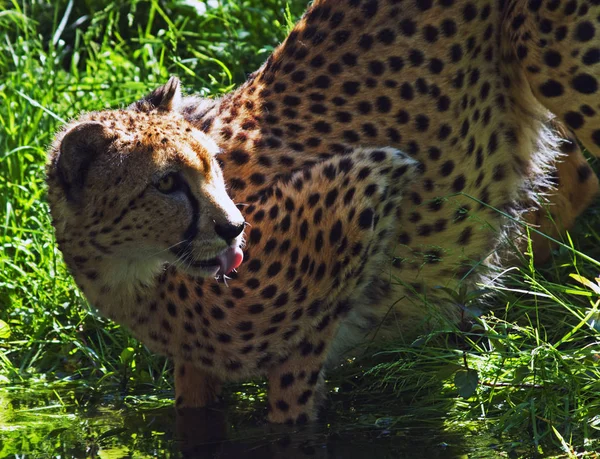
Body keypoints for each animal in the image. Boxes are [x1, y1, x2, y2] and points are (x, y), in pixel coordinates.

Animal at [47, 0, 600, 424]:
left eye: (212, 166)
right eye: (165, 183)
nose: (235, 229)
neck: (135, 278)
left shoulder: (367, 179)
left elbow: (292, 386)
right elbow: (193, 402)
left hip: (556, 54)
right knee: (575, 174)